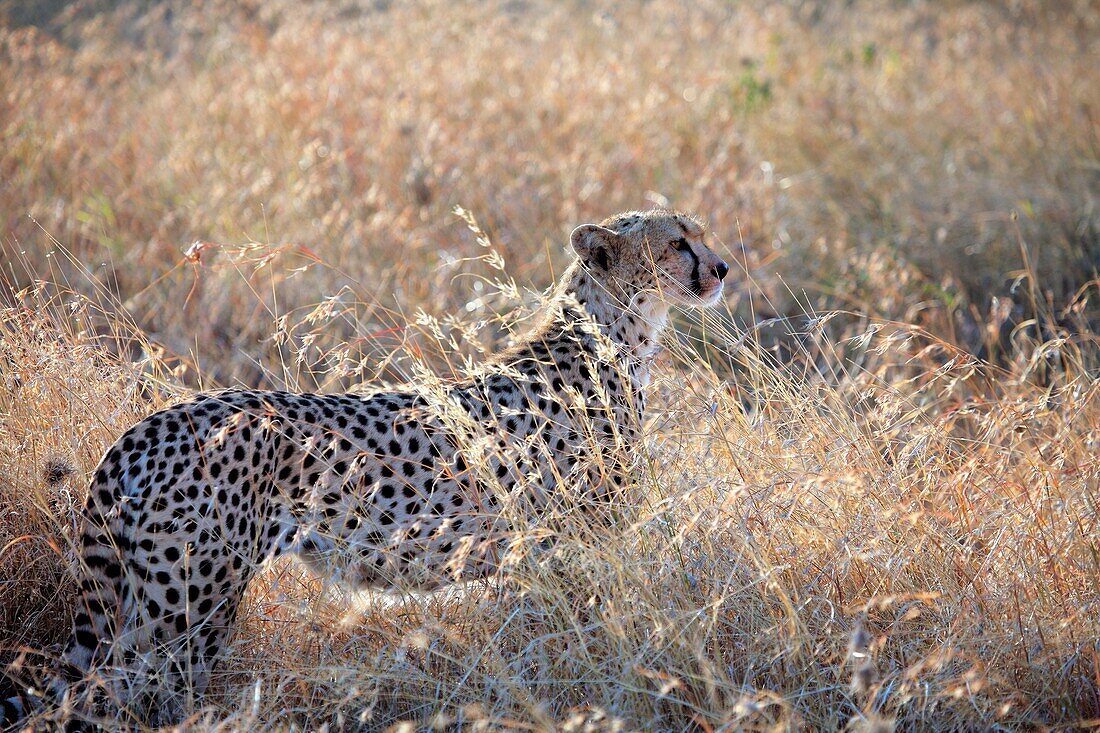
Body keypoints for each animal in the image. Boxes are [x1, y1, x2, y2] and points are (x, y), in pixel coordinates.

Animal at [2, 208, 730, 721]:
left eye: (700, 235)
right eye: (677, 243)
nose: (722, 267)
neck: (612, 332)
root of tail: (150, 423)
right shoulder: (581, 540)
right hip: (187, 605)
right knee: (122, 692)